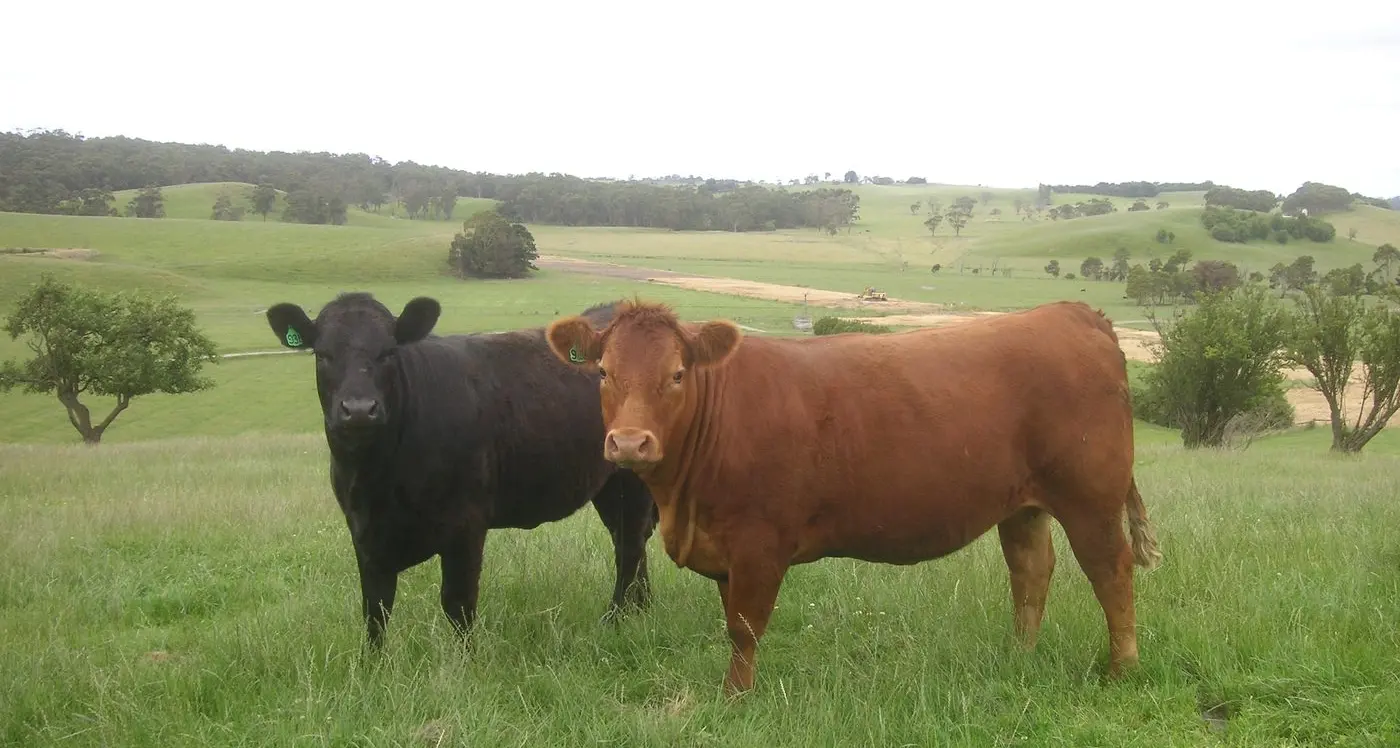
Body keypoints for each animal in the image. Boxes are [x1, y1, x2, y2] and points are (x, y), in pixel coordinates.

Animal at [264, 292, 657, 649]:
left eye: (388, 352)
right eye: (323, 354)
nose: (359, 409)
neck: (377, 479)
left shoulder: (466, 524)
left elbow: (458, 602)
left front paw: (465, 662)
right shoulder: (363, 532)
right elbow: (375, 608)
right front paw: (371, 666)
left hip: (632, 480)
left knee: (629, 547)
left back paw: (615, 618)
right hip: (609, 486)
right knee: (631, 542)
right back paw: (640, 610)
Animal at [545, 298, 1163, 694]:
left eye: (676, 374)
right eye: (603, 372)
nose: (629, 442)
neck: (685, 501)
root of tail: (1071, 313)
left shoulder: (759, 543)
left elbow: (744, 627)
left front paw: (736, 698)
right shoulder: (724, 548)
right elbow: (732, 622)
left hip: (1091, 498)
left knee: (1111, 572)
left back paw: (1123, 670)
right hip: (1023, 505)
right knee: (1032, 571)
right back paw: (1020, 656)